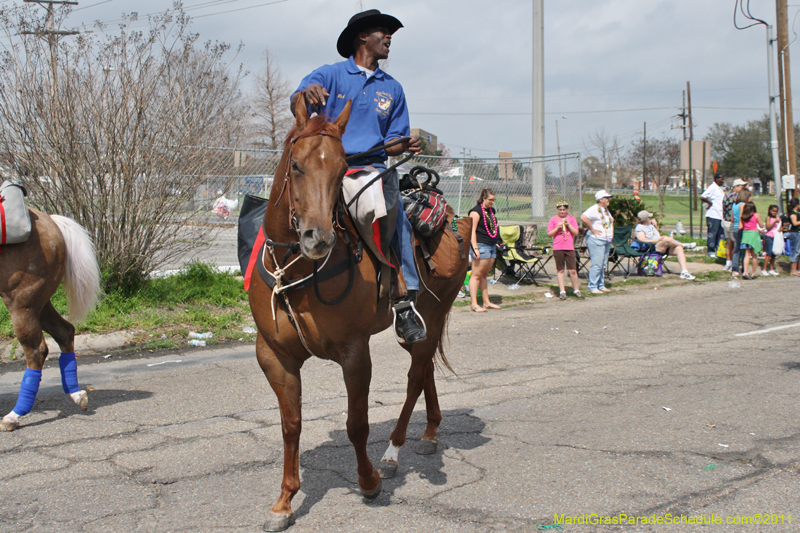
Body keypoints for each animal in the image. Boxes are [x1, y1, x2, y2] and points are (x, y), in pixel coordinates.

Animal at [0, 210, 101, 430]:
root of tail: (50, 220)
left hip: (22, 305)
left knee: (36, 351)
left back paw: (14, 416)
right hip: (40, 303)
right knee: (64, 332)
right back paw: (76, 394)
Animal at [250, 93, 472, 528]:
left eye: (341, 169)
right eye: (296, 164)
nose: (318, 238)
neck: (298, 270)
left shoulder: (354, 352)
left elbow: (356, 424)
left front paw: (368, 481)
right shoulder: (274, 355)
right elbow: (291, 426)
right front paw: (284, 501)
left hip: (433, 313)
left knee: (415, 376)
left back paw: (393, 452)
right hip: (416, 328)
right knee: (424, 370)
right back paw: (429, 434)